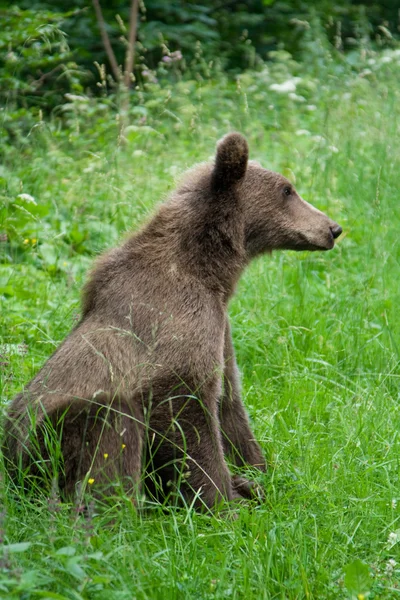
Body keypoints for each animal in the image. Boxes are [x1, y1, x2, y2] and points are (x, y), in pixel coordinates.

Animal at [2, 134, 340, 508]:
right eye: (287, 190)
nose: (333, 228)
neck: (210, 271)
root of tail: (11, 472)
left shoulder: (219, 329)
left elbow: (230, 402)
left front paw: (257, 473)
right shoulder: (174, 326)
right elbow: (187, 418)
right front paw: (224, 502)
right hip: (48, 443)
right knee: (109, 427)